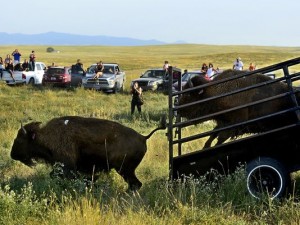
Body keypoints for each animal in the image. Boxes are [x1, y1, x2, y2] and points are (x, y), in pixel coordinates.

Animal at [10, 116, 166, 190]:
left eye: (20, 139)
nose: (12, 155)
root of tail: (143, 137)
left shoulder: (67, 167)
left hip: (125, 170)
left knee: (135, 184)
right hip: (126, 171)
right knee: (136, 184)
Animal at [168, 58, 300, 199]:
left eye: (188, 94)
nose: (178, 108)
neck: (215, 92)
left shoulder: (232, 126)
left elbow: (219, 139)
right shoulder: (223, 123)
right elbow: (213, 134)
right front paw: (205, 147)